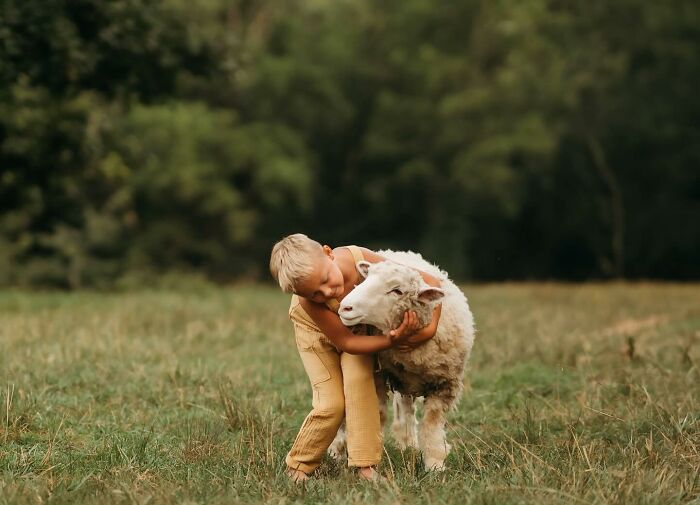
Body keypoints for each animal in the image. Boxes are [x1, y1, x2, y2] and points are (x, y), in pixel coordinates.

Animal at [330, 250, 476, 470]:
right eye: (366, 278)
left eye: (397, 291)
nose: (346, 308)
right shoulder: (378, 376)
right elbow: (377, 413)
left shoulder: (445, 385)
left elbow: (431, 424)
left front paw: (435, 465)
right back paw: (336, 451)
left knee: (406, 408)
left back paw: (409, 445)